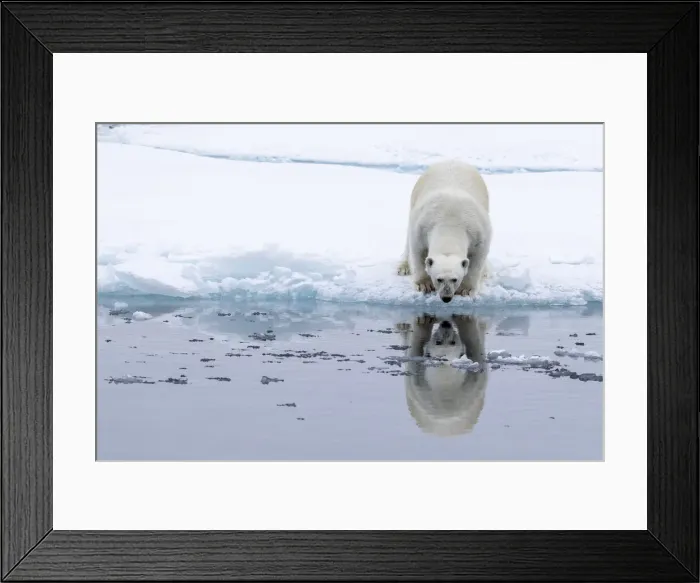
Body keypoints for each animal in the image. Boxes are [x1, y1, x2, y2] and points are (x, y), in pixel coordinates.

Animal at [397, 160, 492, 302]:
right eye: (439, 279)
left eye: (455, 279)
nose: (446, 297)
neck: (450, 224)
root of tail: (452, 160)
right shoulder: (422, 226)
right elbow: (418, 252)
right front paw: (424, 284)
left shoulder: (479, 232)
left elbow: (477, 260)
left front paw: (465, 289)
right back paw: (403, 268)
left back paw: (485, 272)